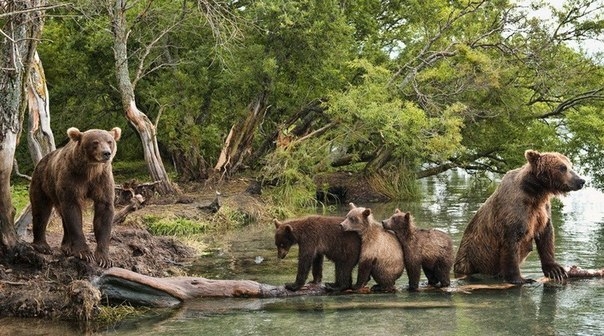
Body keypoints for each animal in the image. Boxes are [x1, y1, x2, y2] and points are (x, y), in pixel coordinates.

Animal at [29, 126, 121, 268]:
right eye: (95, 142)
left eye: (109, 141)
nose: (106, 153)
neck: (90, 170)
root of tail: (42, 160)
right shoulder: (72, 179)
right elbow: (73, 212)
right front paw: (84, 253)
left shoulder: (102, 180)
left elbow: (104, 212)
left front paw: (104, 258)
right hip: (43, 183)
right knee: (41, 210)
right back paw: (42, 246)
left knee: (61, 216)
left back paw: (66, 246)